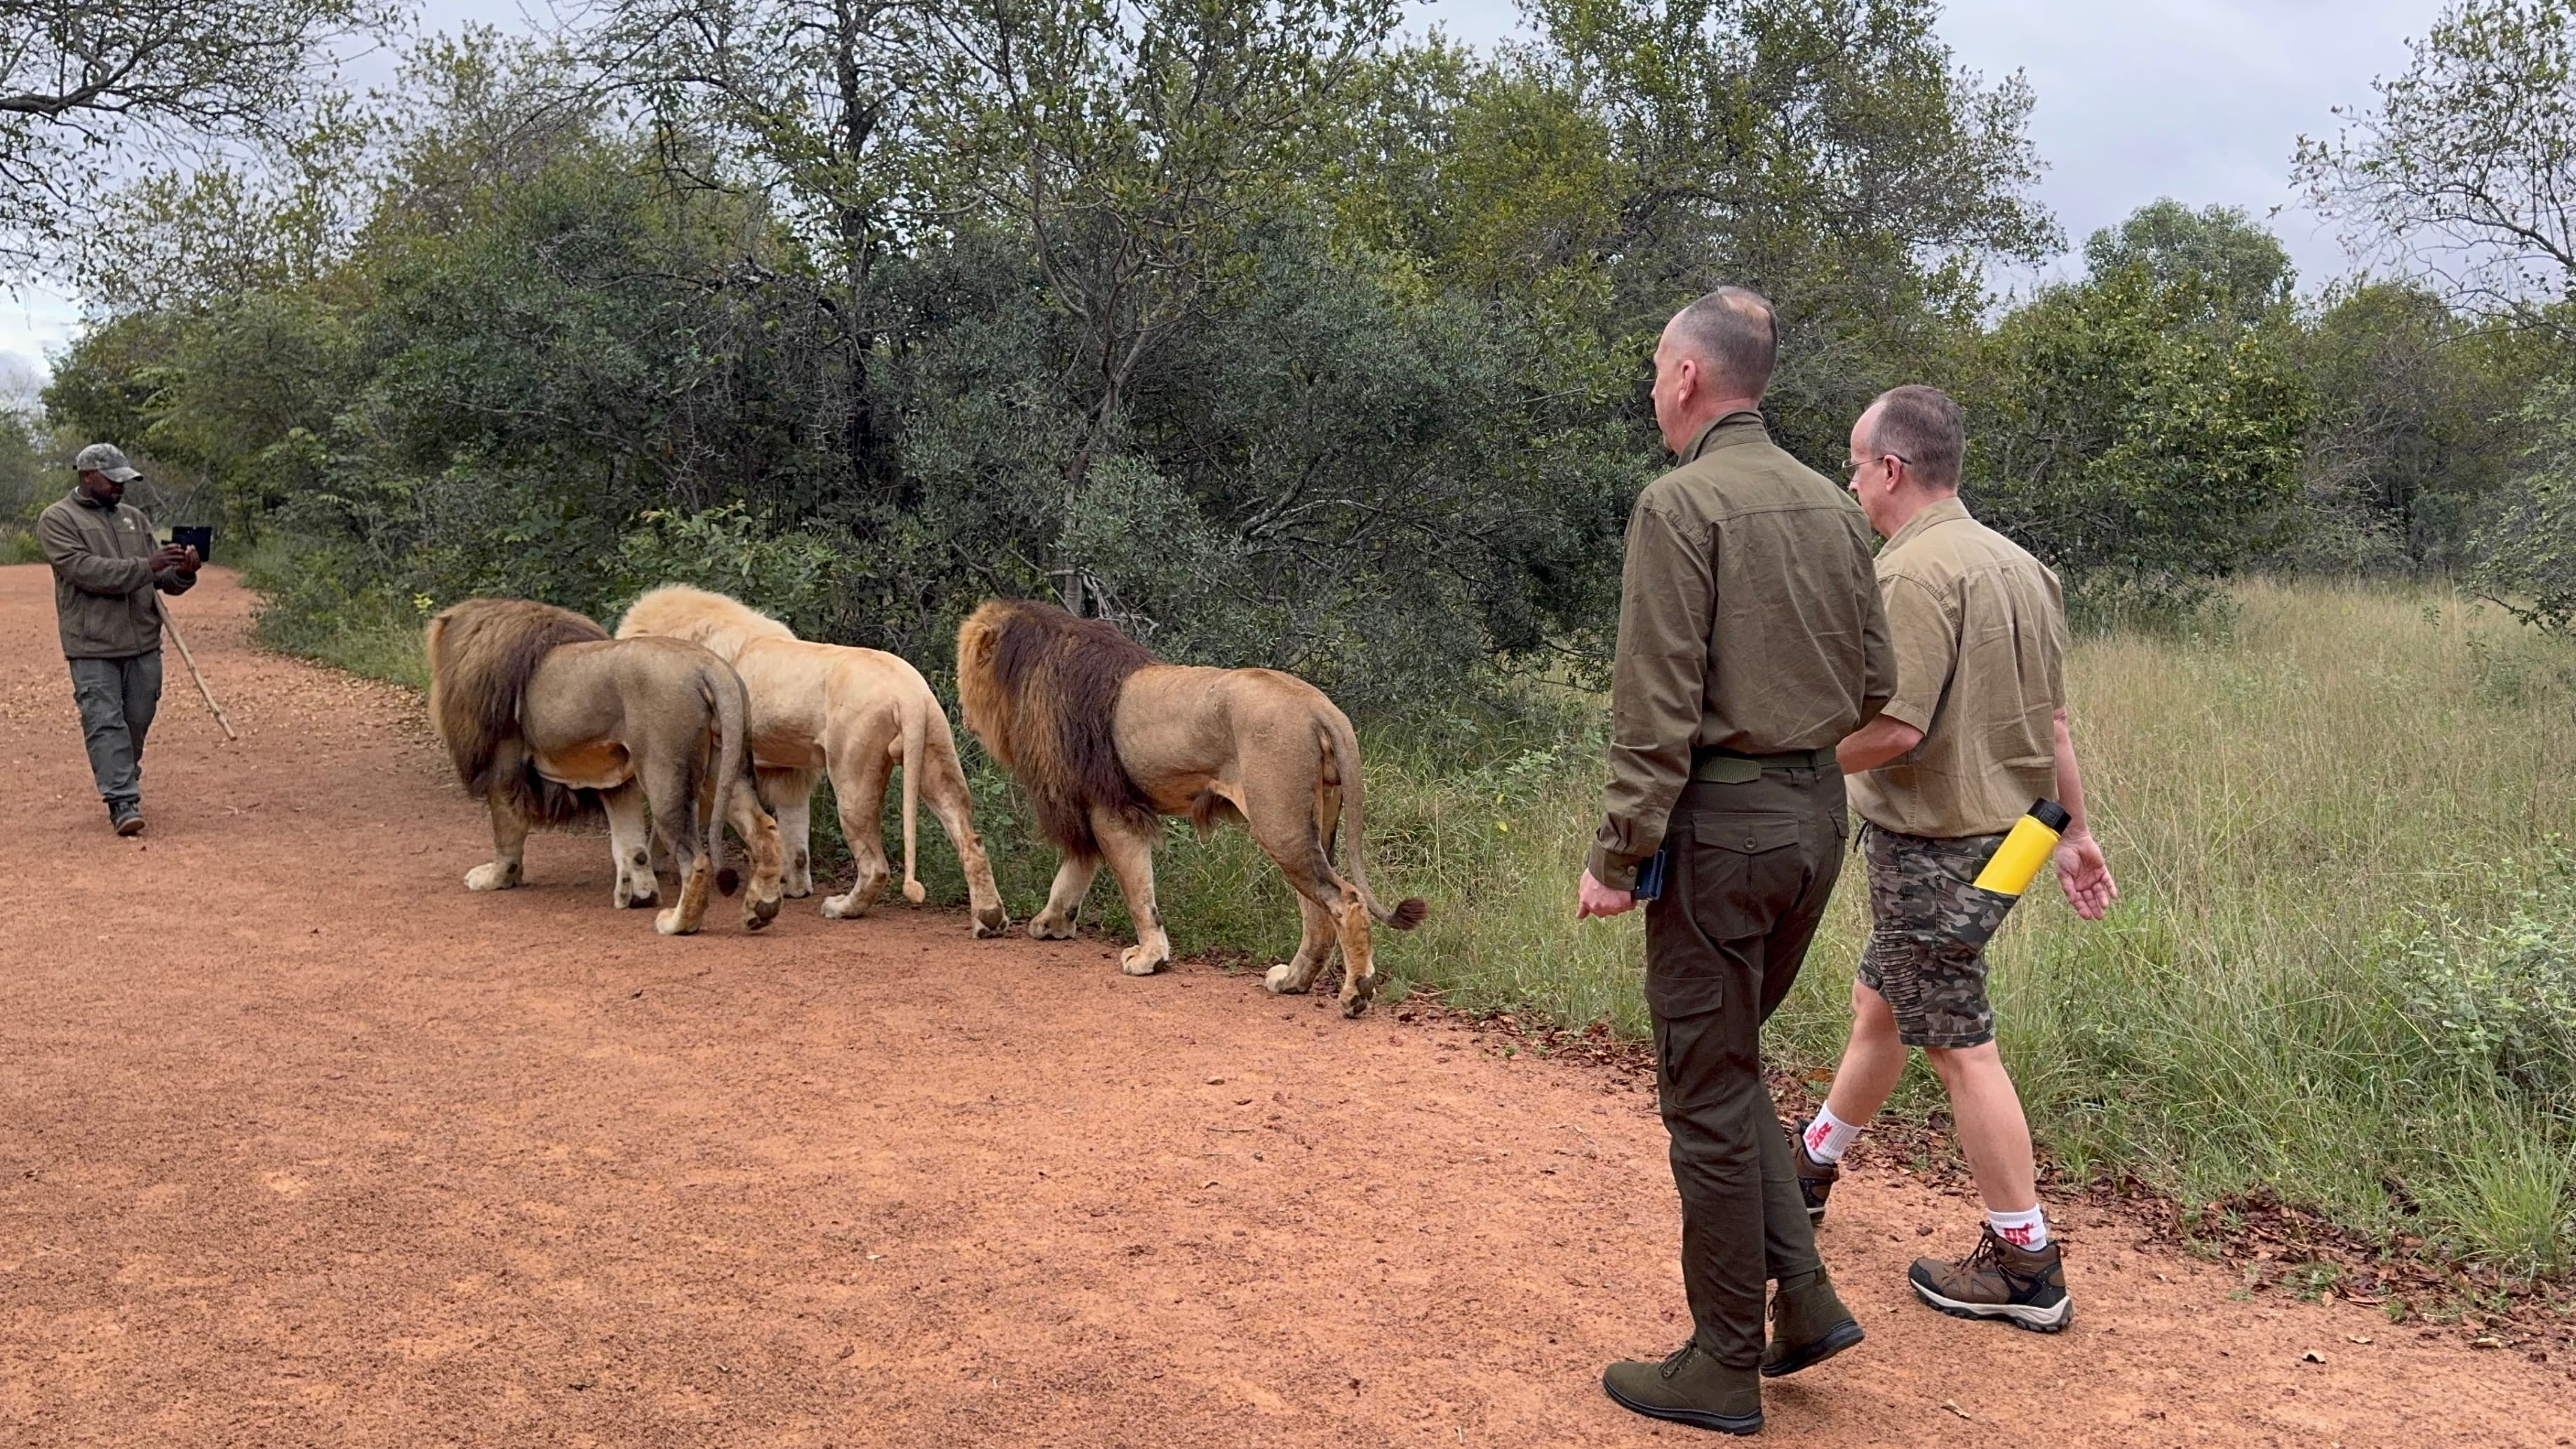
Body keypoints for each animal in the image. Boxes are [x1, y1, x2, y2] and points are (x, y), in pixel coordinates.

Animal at [425, 597, 786, 936]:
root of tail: (707, 666)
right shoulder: (615, 780)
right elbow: (631, 844)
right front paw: (639, 894)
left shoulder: (503, 765)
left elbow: (507, 835)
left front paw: (494, 878)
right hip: (727, 768)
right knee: (763, 829)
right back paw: (761, 909)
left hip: (663, 775)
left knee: (696, 860)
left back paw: (678, 924)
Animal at [613, 584, 1009, 936]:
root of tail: (908, 691)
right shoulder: (788, 771)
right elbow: (795, 837)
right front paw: (794, 887)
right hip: (934, 760)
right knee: (971, 842)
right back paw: (989, 919)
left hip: (852, 777)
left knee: (875, 865)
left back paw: (842, 908)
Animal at [955, 598, 1426, 1016]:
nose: (962, 716)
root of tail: (1320, 706)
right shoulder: (1089, 804)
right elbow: (1075, 872)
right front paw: (1054, 922)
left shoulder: (1109, 808)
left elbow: (1136, 890)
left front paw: (1148, 958)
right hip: (1311, 823)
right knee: (1317, 912)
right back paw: (1294, 982)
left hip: (1278, 823)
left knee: (1344, 900)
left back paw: (1356, 994)